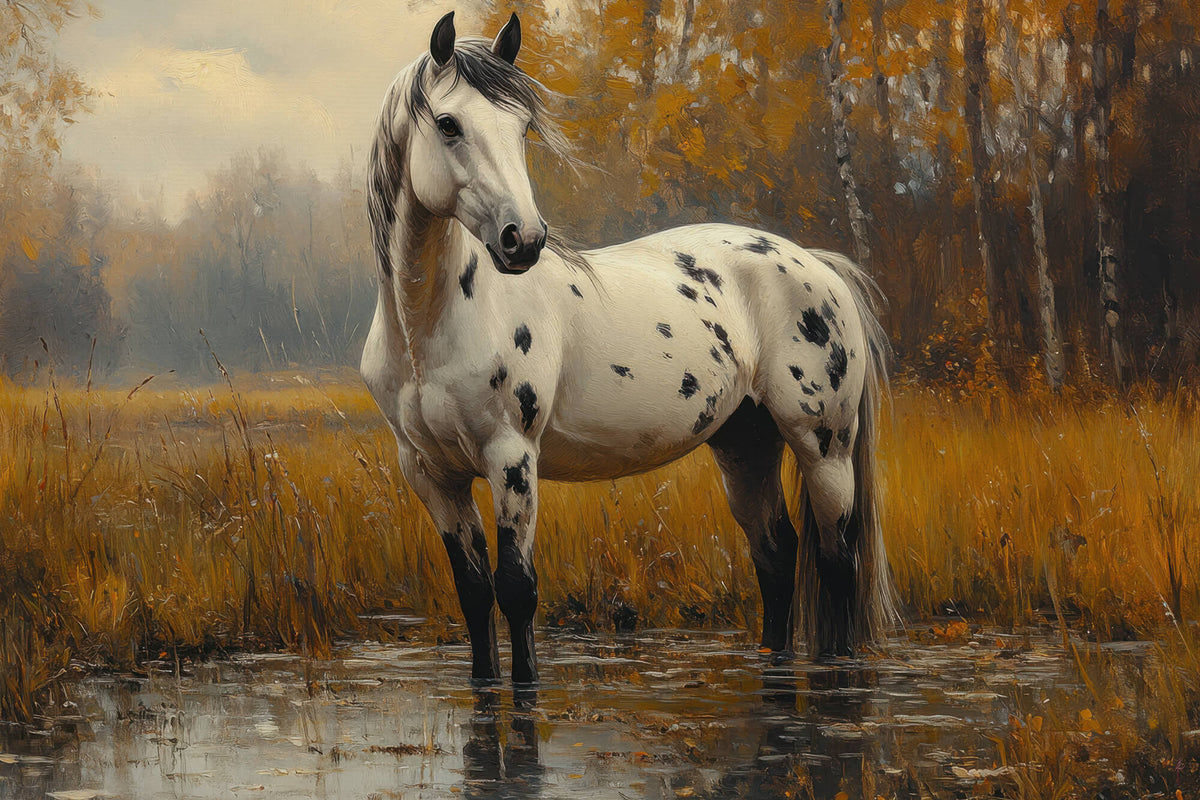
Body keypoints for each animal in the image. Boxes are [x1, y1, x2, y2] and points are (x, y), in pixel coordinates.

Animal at [361, 10, 897, 685]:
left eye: (522, 128)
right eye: (449, 124)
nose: (522, 240)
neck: (429, 330)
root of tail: (819, 266)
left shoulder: (512, 459)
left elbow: (517, 591)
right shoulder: (432, 474)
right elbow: (474, 594)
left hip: (823, 448)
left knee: (835, 563)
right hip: (745, 444)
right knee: (776, 559)